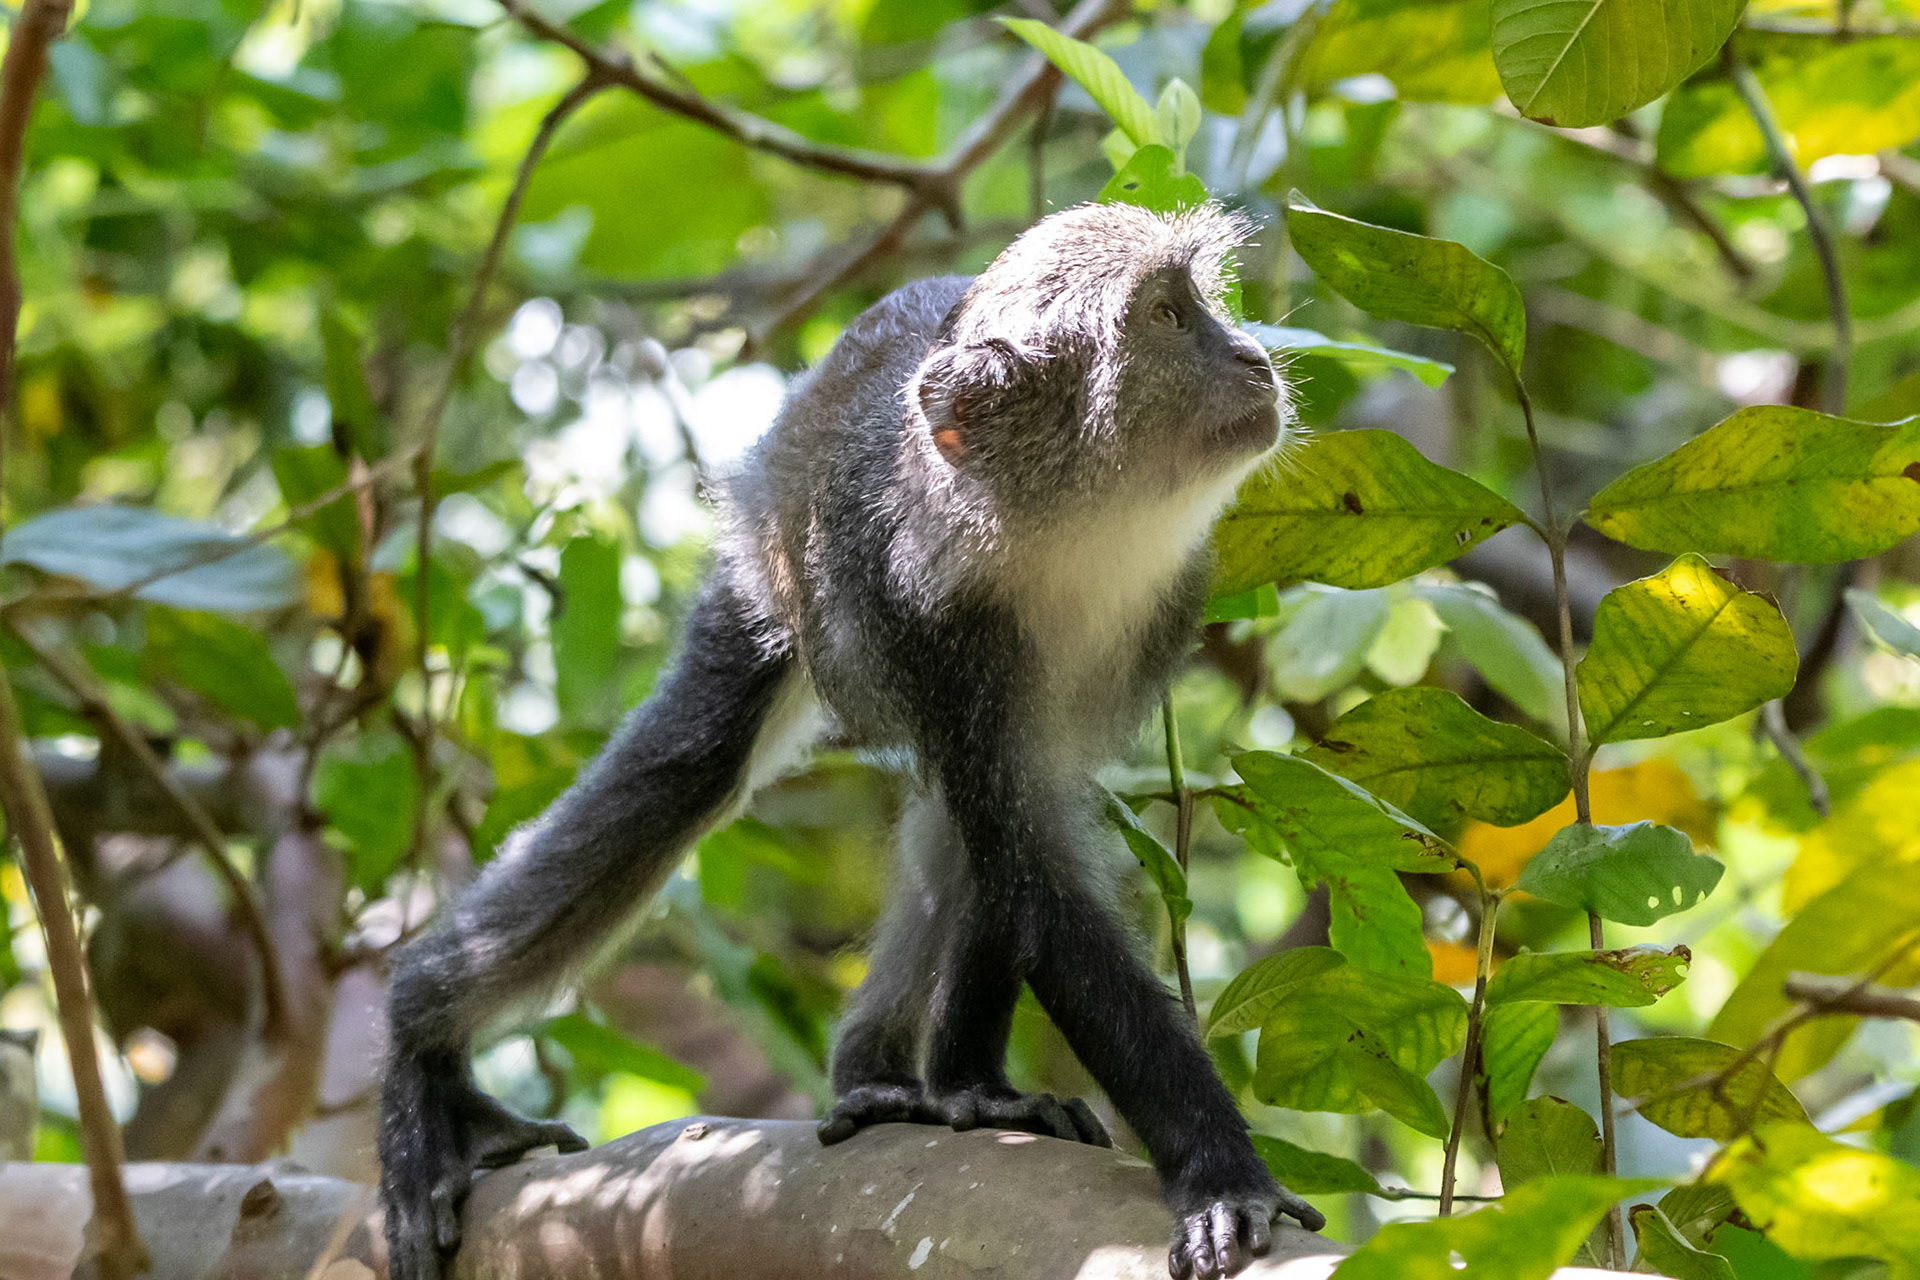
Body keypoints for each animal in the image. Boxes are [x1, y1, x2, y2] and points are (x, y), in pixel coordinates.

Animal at [379, 201, 1325, 1280]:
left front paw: (979, 1090)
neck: (1059, 533)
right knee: (686, 770)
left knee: (946, 834)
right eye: (1168, 317)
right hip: (771, 562)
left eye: (1198, 303)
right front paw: (1219, 1174)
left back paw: (905, 1077)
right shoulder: (940, 635)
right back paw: (422, 1047)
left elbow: (1011, 864)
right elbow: (1037, 885)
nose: (1252, 356)